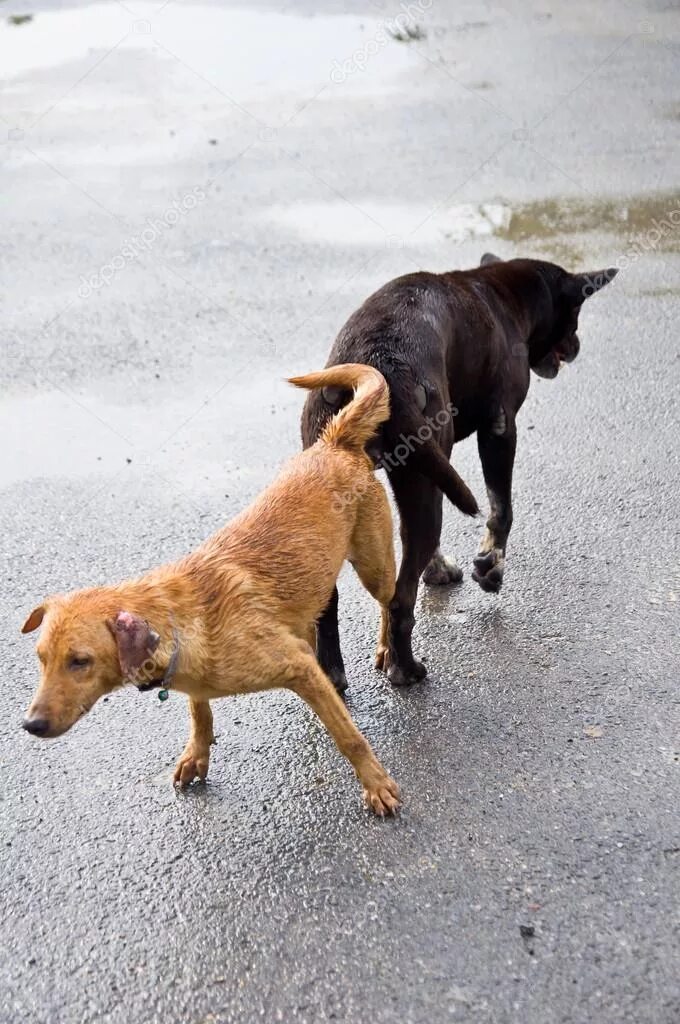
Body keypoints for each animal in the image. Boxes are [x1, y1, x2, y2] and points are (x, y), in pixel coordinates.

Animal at [22, 364, 399, 811]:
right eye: (42, 658)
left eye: (80, 661)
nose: (30, 724)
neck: (184, 620)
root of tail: (334, 443)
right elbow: (200, 713)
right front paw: (197, 754)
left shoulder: (297, 667)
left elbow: (349, 737)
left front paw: (375, 782)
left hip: (376, 568)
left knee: (391, 602)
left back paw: (388, 647)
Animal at [301, 253, 614, 688]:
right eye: (575, 317)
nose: (577, 346)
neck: (503, 293)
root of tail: (379, 362)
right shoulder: (500, 428)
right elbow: (502, 510)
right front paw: (491, 568)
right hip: (422, 482)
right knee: (401, 599)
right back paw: (405, 668)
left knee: (335, 597)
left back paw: (332, 672)